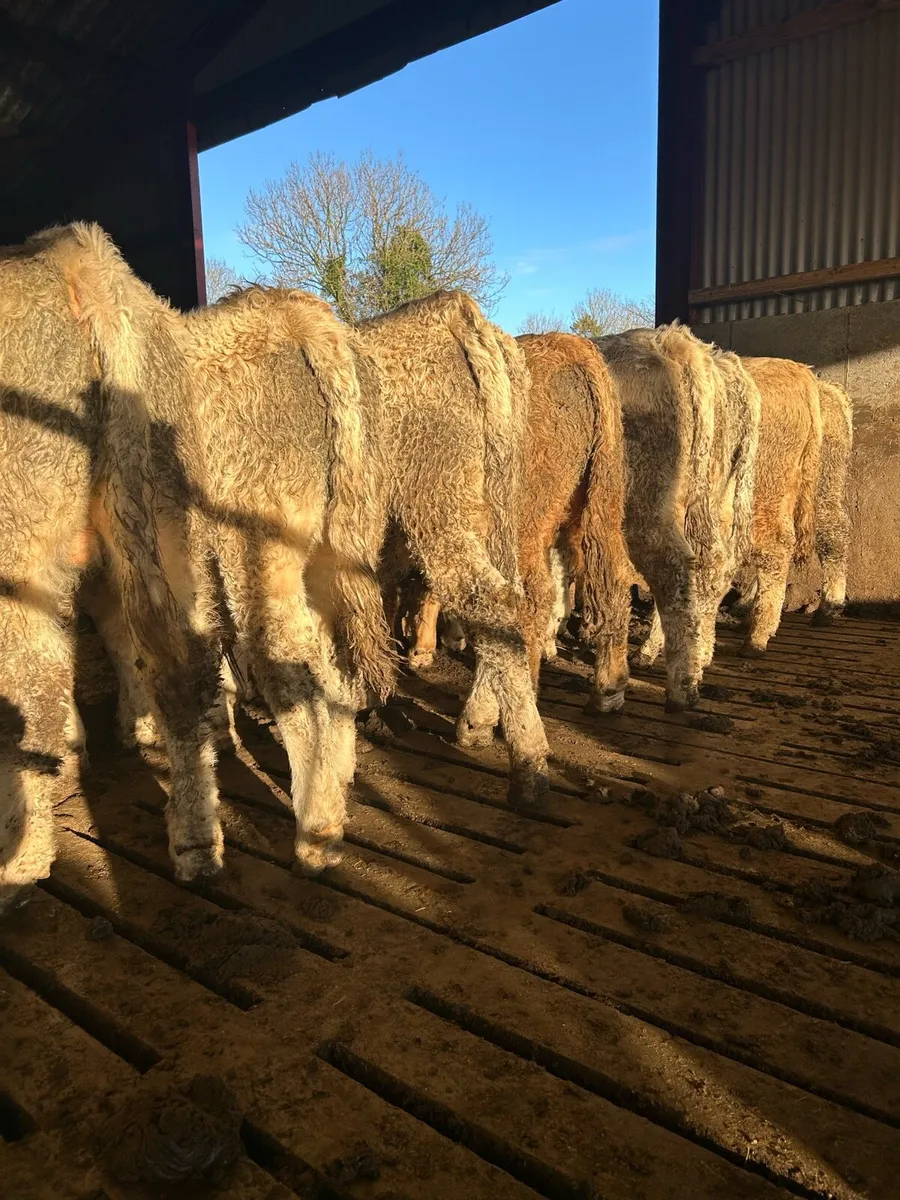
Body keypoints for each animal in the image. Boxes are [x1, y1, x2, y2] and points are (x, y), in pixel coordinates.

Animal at [357, 292, 549, 803]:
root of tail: (450, 308)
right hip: (496, 503)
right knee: (513, 603)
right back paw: (482, 720)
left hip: (441, 507)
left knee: (494, 603)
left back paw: (529, 768)